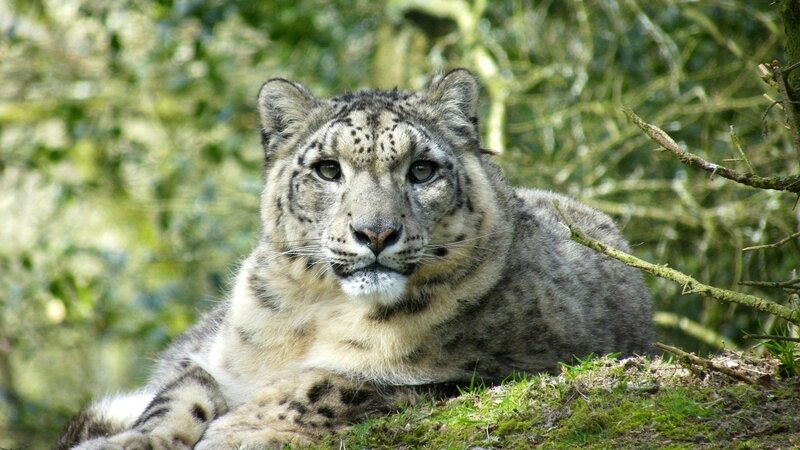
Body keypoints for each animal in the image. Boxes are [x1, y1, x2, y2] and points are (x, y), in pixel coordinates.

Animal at [58, 69, 653, 449]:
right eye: (327, 169)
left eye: (422, 170)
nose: (376, 232)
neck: (314, 317)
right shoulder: (215, 357)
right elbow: (177, 395)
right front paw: (129, 441)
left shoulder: (493, 365)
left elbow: (333, 382)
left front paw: (238, 430)